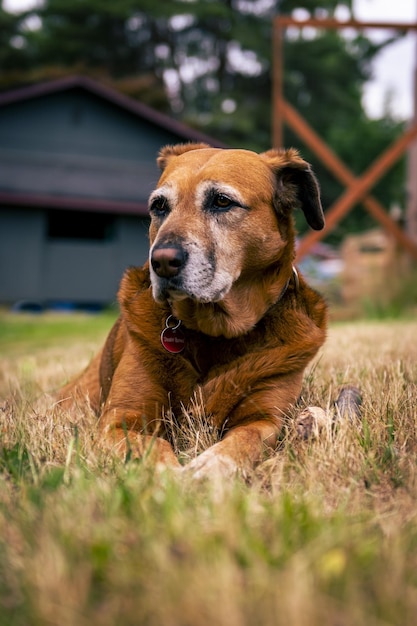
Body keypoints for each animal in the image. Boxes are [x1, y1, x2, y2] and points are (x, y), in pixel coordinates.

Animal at [57, 143, 324, 478]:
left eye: (222, 201)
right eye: (159, 206)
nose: (162, 261)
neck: (213, 331)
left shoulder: (267, 418)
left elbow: (245, 439)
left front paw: (211, 467)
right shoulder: (119, 420)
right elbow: (151, 446)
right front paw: (170, 476)